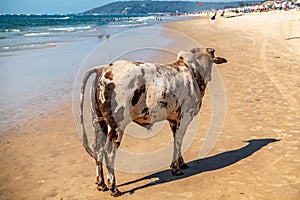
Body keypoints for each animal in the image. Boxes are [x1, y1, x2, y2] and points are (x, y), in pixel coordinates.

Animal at [78, 47, 226, 197]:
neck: (193, 71)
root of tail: (105, 68)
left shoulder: (174, 120)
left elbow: (176, 141)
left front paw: (180, 163)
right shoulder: (185, 117)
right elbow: (178, 141)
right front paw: (176, 168)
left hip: (99, 122)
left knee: (98, 150)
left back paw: (101, 184)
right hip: (116, 126)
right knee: (109, 152)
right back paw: (113, 188)